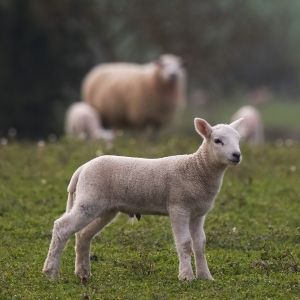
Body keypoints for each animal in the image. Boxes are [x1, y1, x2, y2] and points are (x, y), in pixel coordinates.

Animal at [42, 117, 244, 282]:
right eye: (217, 141)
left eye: (239, 140)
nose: (237, 155)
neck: (197, 169)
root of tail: (82, 168)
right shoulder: (178, 207)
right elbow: (185, 243)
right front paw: (186, 277)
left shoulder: (197, 213)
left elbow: (200, 244)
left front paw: (205, 277)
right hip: (89, 199)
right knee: (62, 227)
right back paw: (51, 273)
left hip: (105, 208)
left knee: (83, 234)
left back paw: (82, 272)